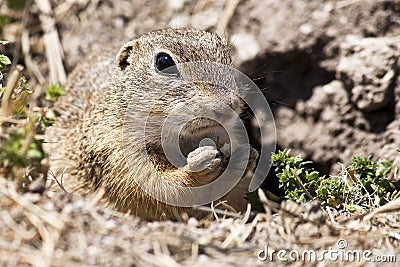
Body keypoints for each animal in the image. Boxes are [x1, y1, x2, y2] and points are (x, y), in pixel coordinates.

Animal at [46, 28, 260, 220]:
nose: (229, 103)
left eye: (227, 55)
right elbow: (159, 187)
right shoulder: (120, 156)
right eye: (164, 62)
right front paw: (200, 163)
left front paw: (246, 157)